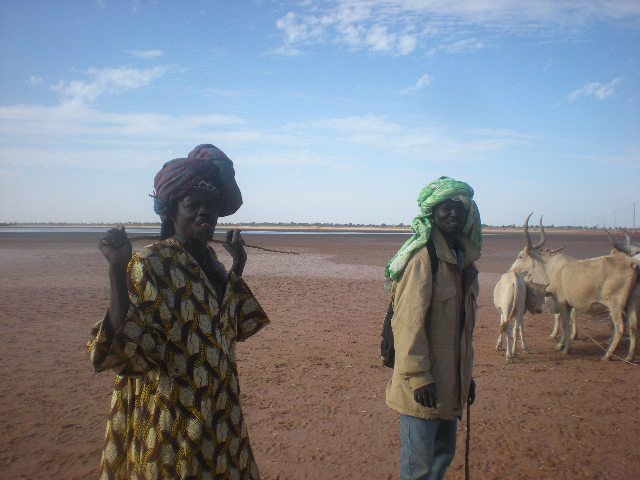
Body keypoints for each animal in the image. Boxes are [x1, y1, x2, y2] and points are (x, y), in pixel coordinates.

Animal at [508, 214, 636, 360]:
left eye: (520, 256)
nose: (511, 270)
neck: (549, 268)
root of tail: (632, 264)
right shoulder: (568, 306)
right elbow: (566, 324)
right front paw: (560, 344)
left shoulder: (562, 304)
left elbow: (565, 325)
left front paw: (565, 349)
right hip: (631, 303)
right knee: (633, 326)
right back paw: (629, 357)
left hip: (615, 306)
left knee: (620, 328)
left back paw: (607, 355)